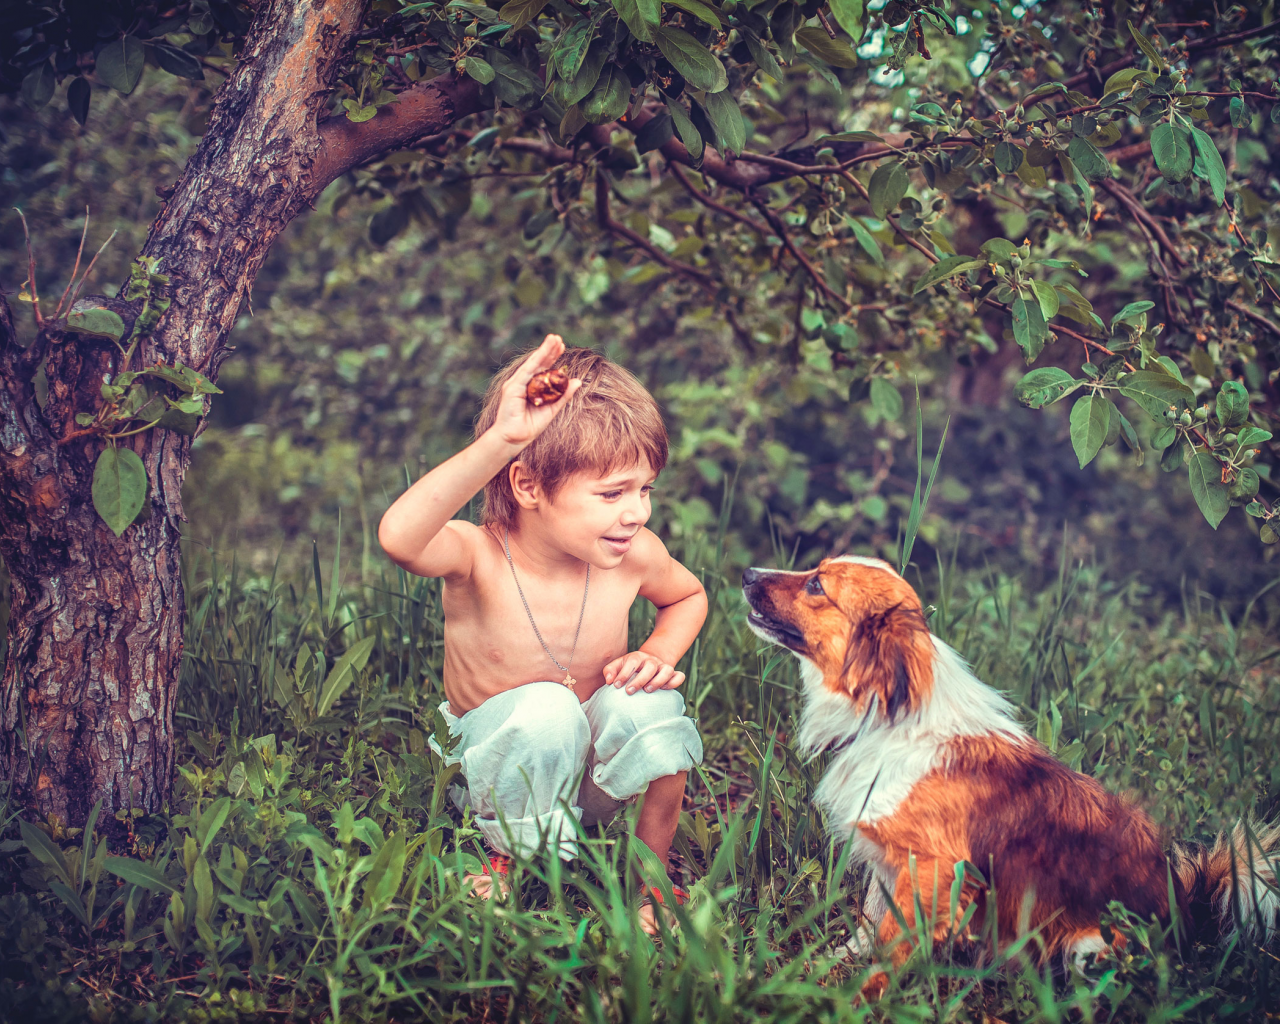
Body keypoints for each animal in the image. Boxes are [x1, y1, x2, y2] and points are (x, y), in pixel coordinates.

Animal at [747, 555, 1274, 998]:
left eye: (816, 585)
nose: (749, 574)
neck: (888, 718)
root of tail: (1188, 908)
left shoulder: (933, 869)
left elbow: (892, 942)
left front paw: (861, 996)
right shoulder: (890, 863)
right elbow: (870, 923)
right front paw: (835, 964)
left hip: (1093, 946)